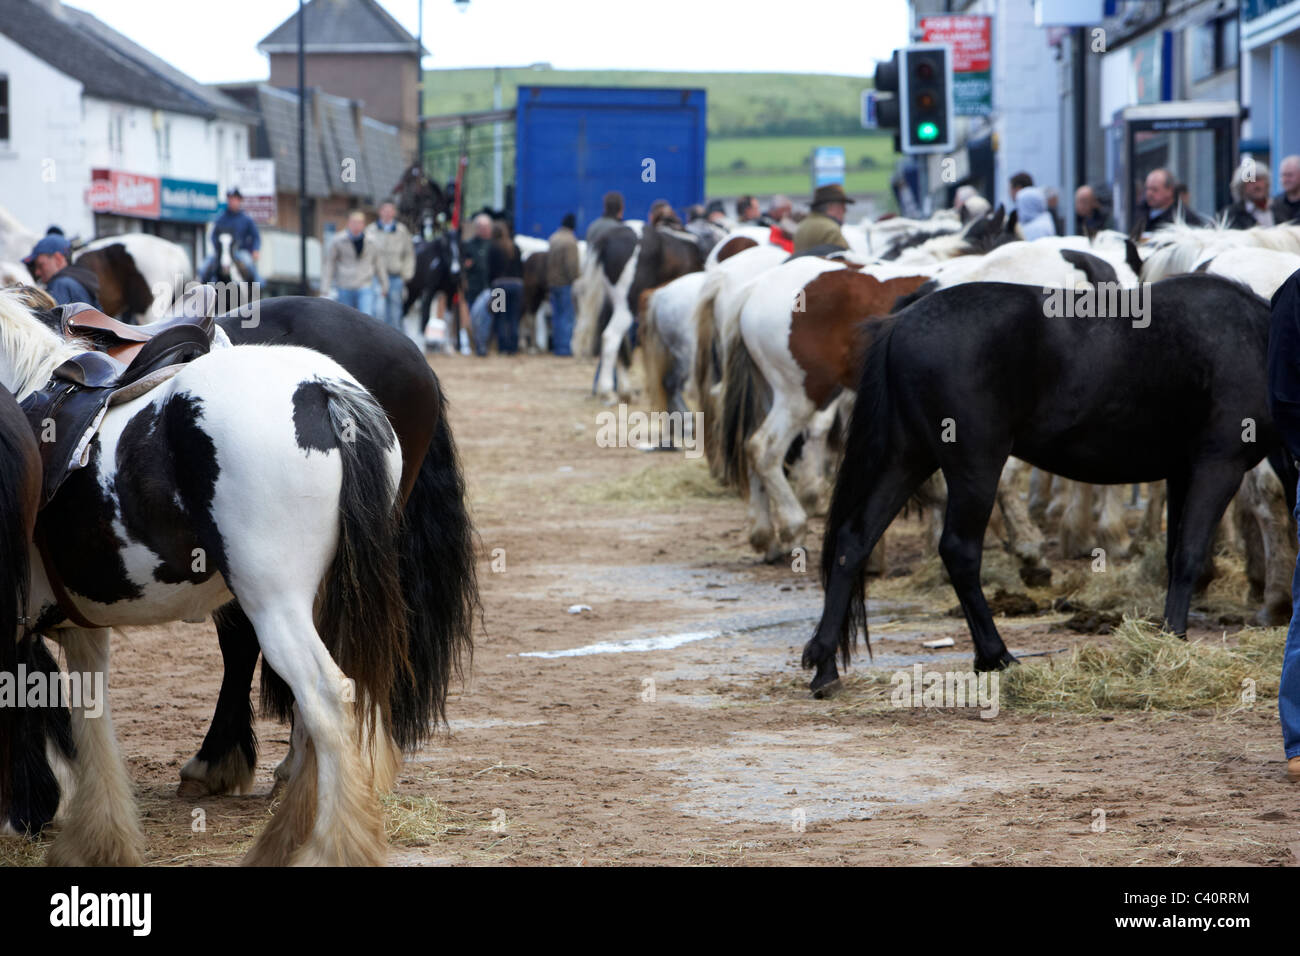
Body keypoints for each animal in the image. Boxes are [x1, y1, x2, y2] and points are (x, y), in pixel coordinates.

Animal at [800, 277, 1289, 697]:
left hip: (906, 459)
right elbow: (1188, 555)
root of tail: (901, 322)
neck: (1253, 338)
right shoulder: (1217, 465)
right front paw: (1172, 642)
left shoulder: (1181, 472)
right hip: (975, 465)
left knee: (854, 541)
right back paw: (996, 655)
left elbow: (1175, 557)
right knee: (959, 551)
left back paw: (825, 666)